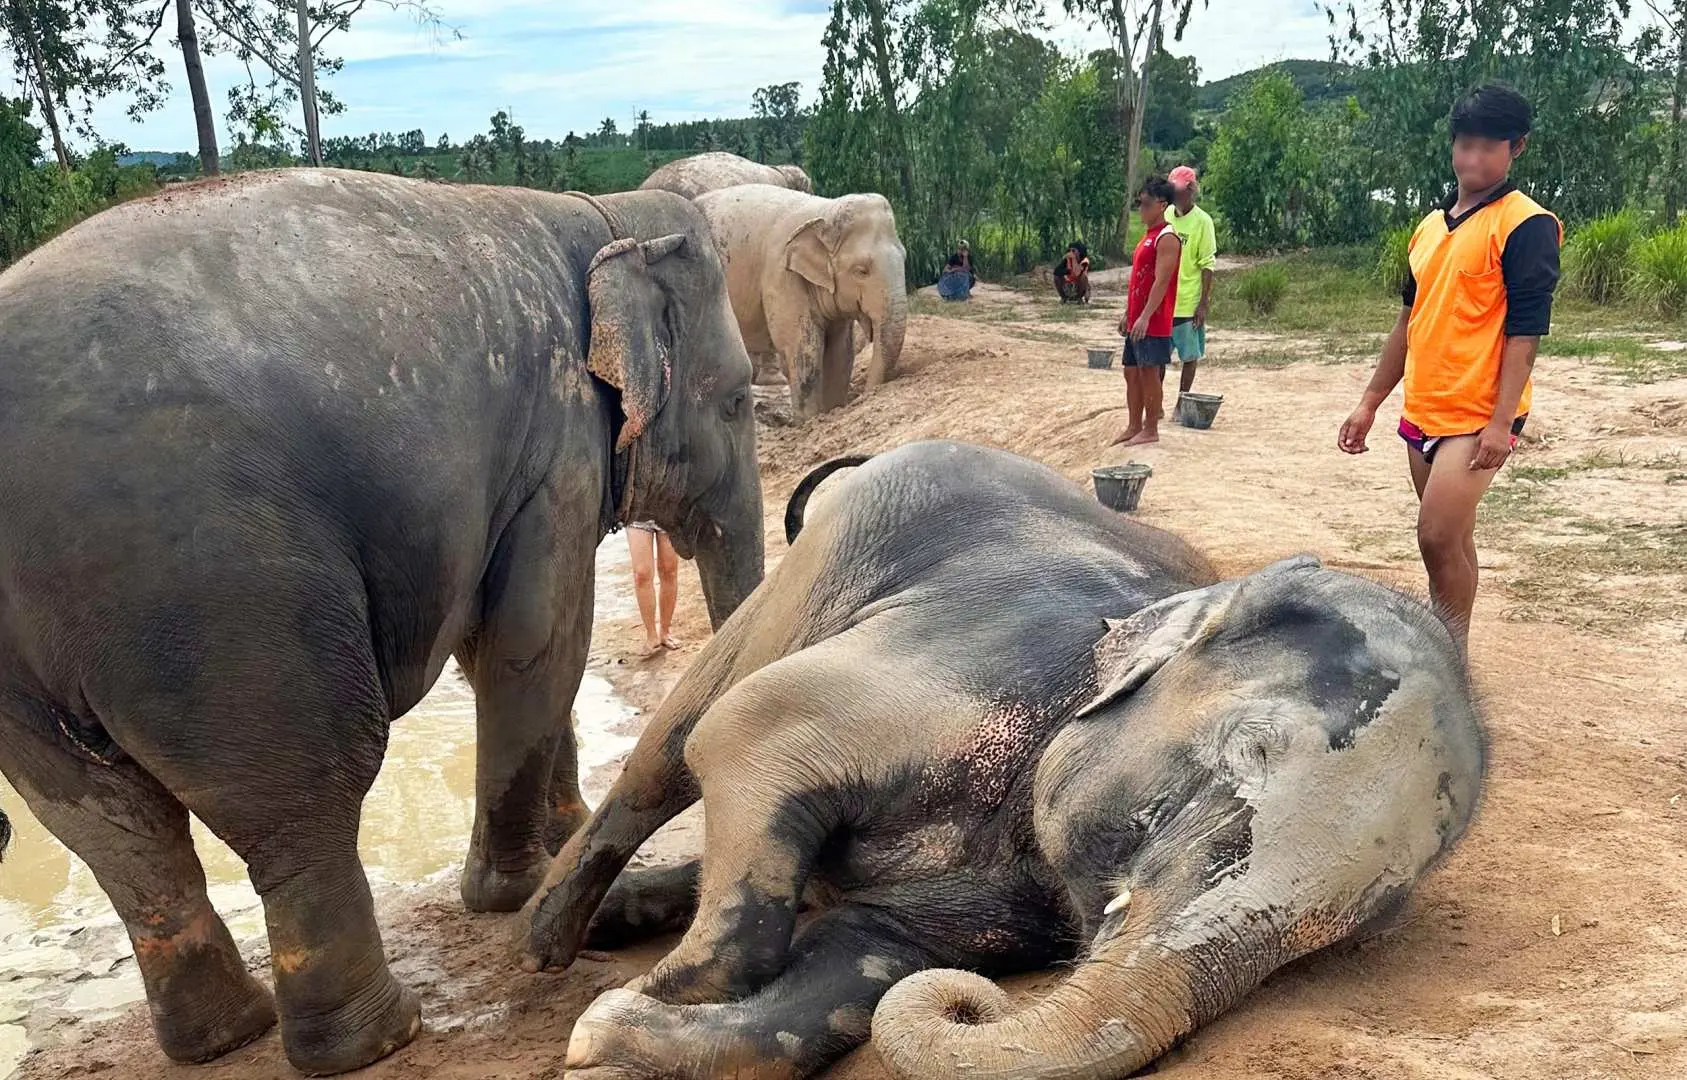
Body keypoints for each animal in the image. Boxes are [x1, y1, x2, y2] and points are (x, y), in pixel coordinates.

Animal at [0, 168, 764, 1076]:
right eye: (739, 402)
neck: (600, 215)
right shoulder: (558, 442)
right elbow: (534, 642)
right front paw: (516, 887)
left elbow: (499, 642)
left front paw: (565, 834)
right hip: (219, 592)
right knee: (307, 790)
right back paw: (380, 1034)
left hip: (33, 668)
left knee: (114, 831)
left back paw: (226, 1036)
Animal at [524, 439, 1486, 1080]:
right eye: (1247, 751)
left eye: (1368, 919)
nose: (972, 999)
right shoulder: (966, 667)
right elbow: (749, 735)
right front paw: (619, 1010)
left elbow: (860, 958)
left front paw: (609, 1035)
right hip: (797, 583)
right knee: (673, 747)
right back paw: (544, 941)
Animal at [694, 184, 908, 419]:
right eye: (861, 271)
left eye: (905, 257)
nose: (868, 395)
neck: (824, 210)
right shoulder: (780, 275)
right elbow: (805, 348)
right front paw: (810, 421)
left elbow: (840, 351)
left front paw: (832, 411)